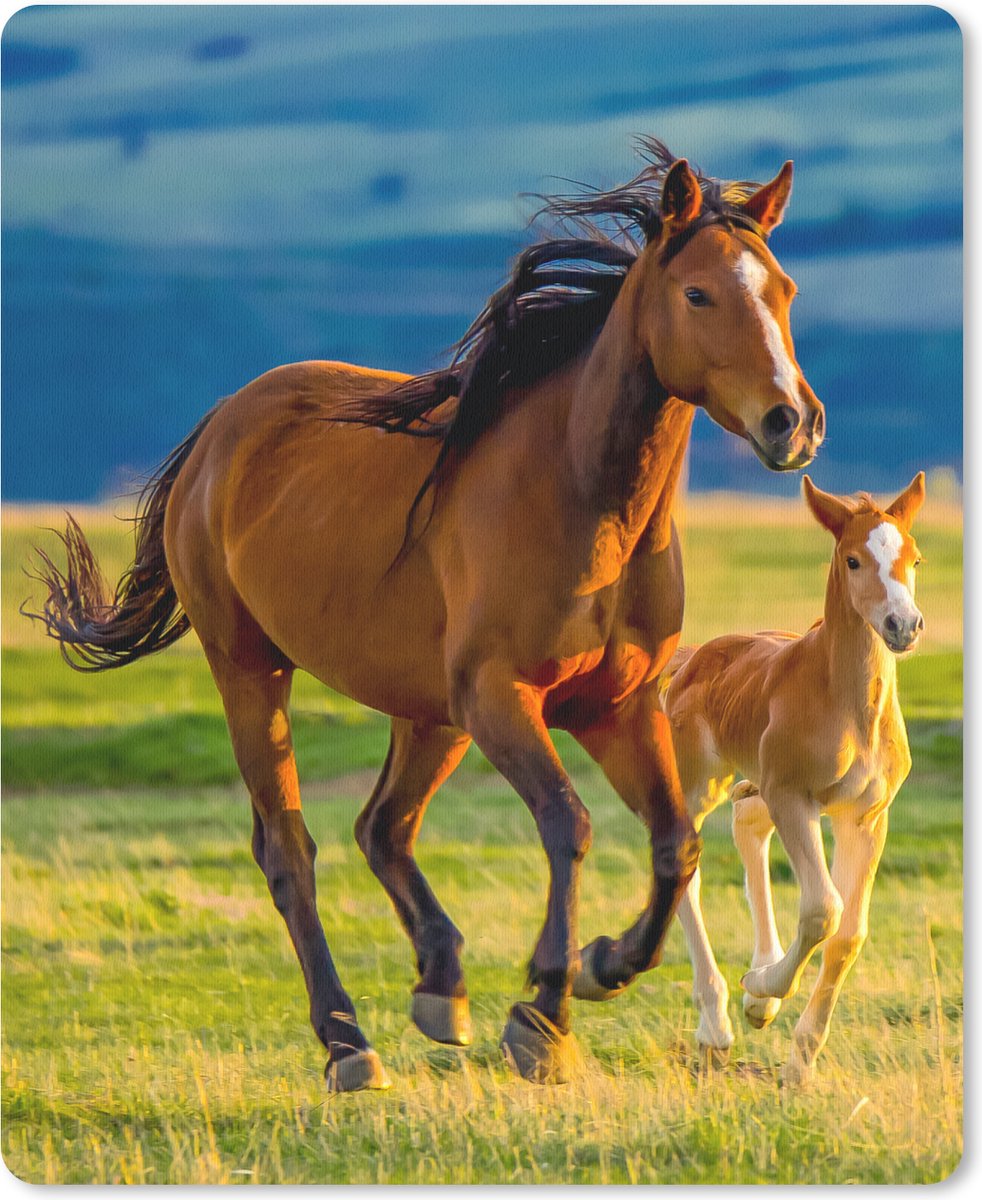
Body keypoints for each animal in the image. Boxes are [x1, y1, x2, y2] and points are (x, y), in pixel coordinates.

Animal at [27, 138, 824, 1091]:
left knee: (384, 828)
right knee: (290, 850)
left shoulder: (616, 706)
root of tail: (220, 430)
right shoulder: (503, 698)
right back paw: (347, 1041)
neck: (581, 499)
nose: (792, 423)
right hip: (253, 671)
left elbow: (675, 845)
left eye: (784, 291)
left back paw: (442, 987)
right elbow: (569, 825)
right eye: (698, 293)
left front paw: (602, 966)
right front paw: (544, 1013)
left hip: (428, 713)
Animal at [660, 473, 923, 1084]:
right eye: (853, 560)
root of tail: (690, 659)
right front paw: (762, 986)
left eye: (915, 558)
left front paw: (798, 1061)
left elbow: (849, 933)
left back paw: (755, 1001)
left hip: (756, 783)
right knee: (687, 864)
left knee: (748, 825)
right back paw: (718, 1025)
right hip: (700, 782)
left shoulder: (865, 816)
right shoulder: (794, 797)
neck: (847, 704)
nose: (903, 626)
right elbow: (823, 909)